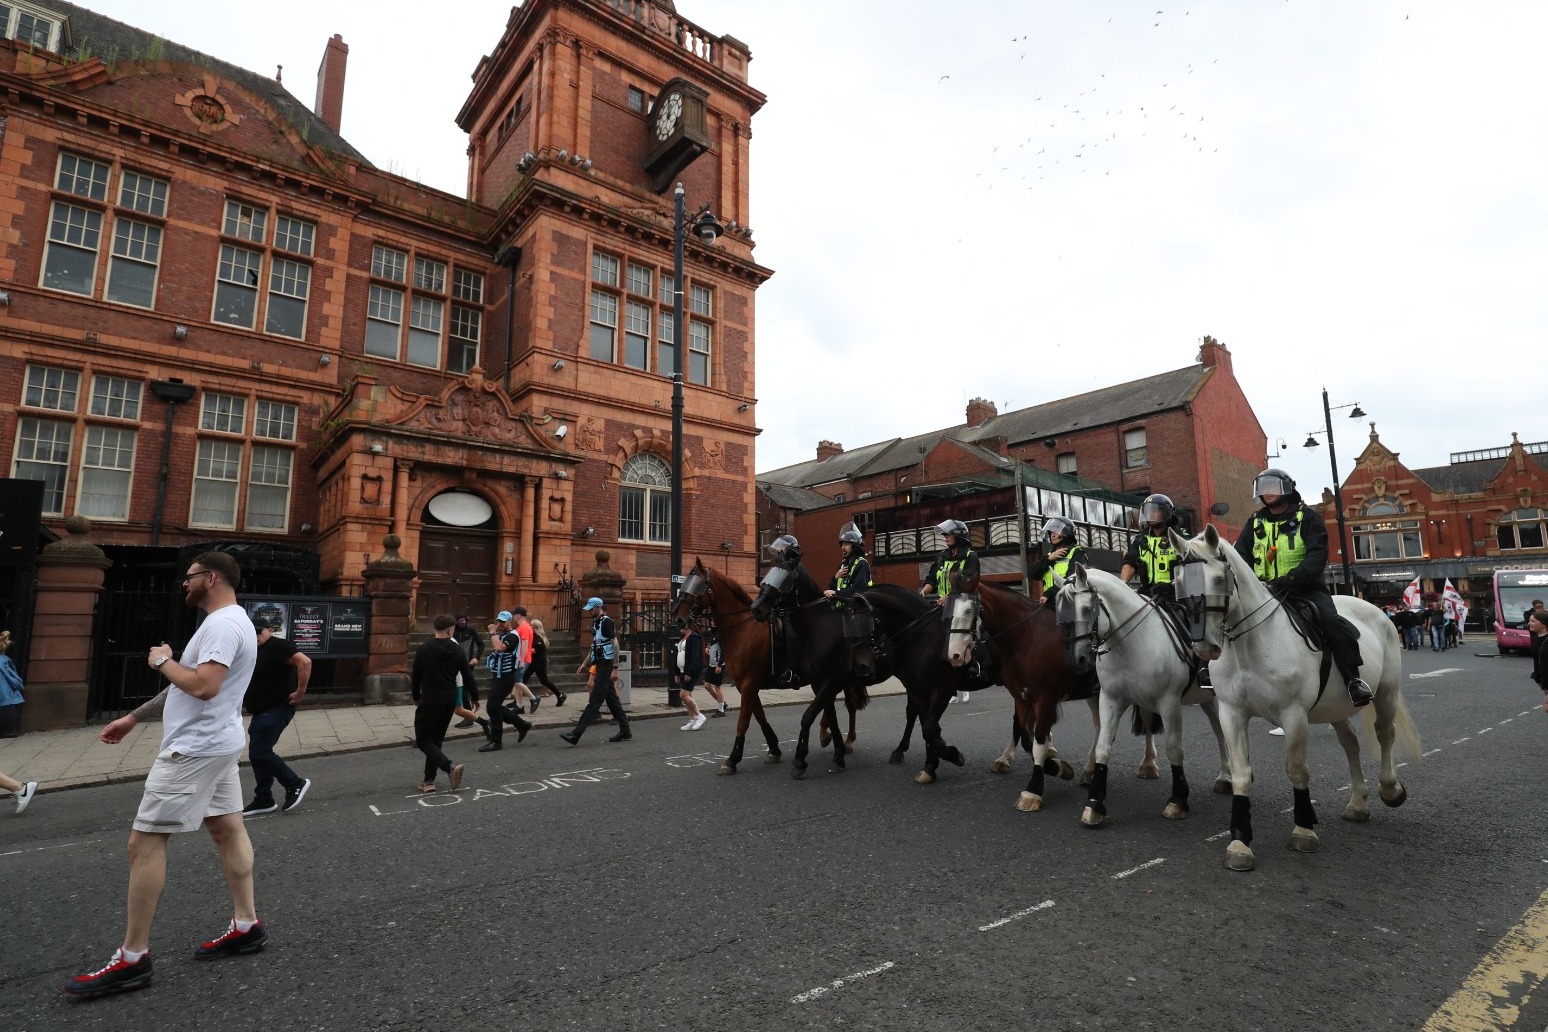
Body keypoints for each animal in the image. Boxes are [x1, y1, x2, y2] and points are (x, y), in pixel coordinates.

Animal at [1058, 560, 1226, 829]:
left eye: (1085, 609)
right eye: (1057, 611)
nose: (1078, 660)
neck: (1131, 643)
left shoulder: (1169, 703)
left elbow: (1174, 749)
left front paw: (1178, 800)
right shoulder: (1111, 699)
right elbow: (1103, 747)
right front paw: (1094, 803)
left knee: (1221, 731)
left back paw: (1226, 778)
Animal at [1164, 529, 1417, 878]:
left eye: (1218, 579)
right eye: (1177, 583)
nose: (1204, 648)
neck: (1250, 645)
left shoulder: (1293, 715)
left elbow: (1297, 771)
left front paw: (1303, 830)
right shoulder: (1232, 713)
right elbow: (1241, 773)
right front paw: (1240, 843)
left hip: (1386, 692)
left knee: (1384, 734)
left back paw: (1390, 789)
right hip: (1334, 707)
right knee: (1350, 743)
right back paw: (1357, 804)